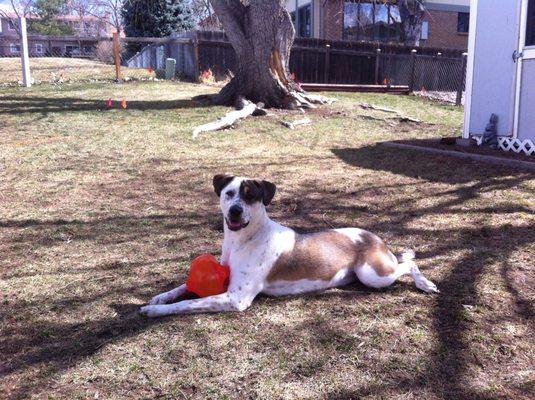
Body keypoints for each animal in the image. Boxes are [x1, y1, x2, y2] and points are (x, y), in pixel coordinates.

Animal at [139, 173, 440, 318]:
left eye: (251, 196)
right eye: (229, 194)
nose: (235, 211)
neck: (243, 240)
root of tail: (375, 237)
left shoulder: (236, 298)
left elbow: (188, 303)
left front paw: (156, 311)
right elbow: (184, 287)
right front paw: (159, 297)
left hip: (373, 274)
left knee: (409, 262)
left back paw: (425, 283)